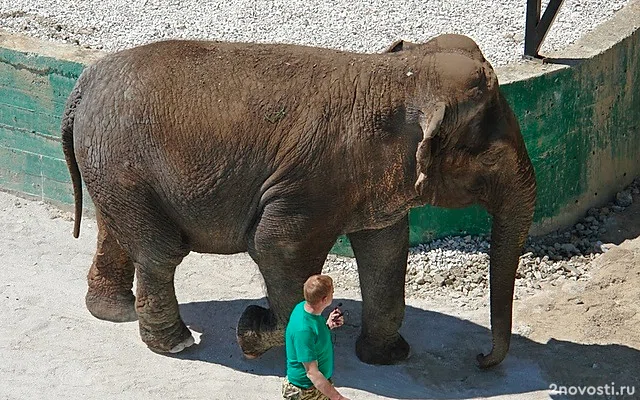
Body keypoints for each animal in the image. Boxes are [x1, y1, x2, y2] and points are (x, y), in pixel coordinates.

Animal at [63, 34, 536, 368]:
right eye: (492, 158)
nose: (480, 359)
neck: (396, 76)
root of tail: (85, 83)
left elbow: (385, 248)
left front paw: (387, 357)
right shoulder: (314, 180)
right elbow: (277, 247)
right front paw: (251, 330)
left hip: (111, 166)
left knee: (116, 232)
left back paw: (116, 312)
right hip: (122, 162)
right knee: (160, 251)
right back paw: (177, 344)